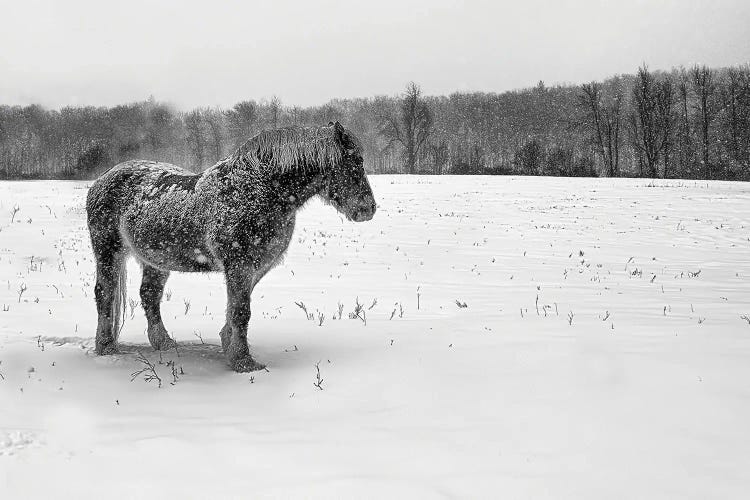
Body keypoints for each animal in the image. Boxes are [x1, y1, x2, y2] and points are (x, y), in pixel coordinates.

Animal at [88, 121, 378, 372]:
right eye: (355, 161)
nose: (368, 208)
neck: (262, 190)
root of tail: (102, 179)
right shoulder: (238, 264)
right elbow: (241, 311)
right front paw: (243, 362)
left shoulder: (256, 266)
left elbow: (237, 308)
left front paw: (228, 345)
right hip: (108, 251)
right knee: (105, 294)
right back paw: (106, 348)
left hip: (156, 259)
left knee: (149, 295)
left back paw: (164, 343)